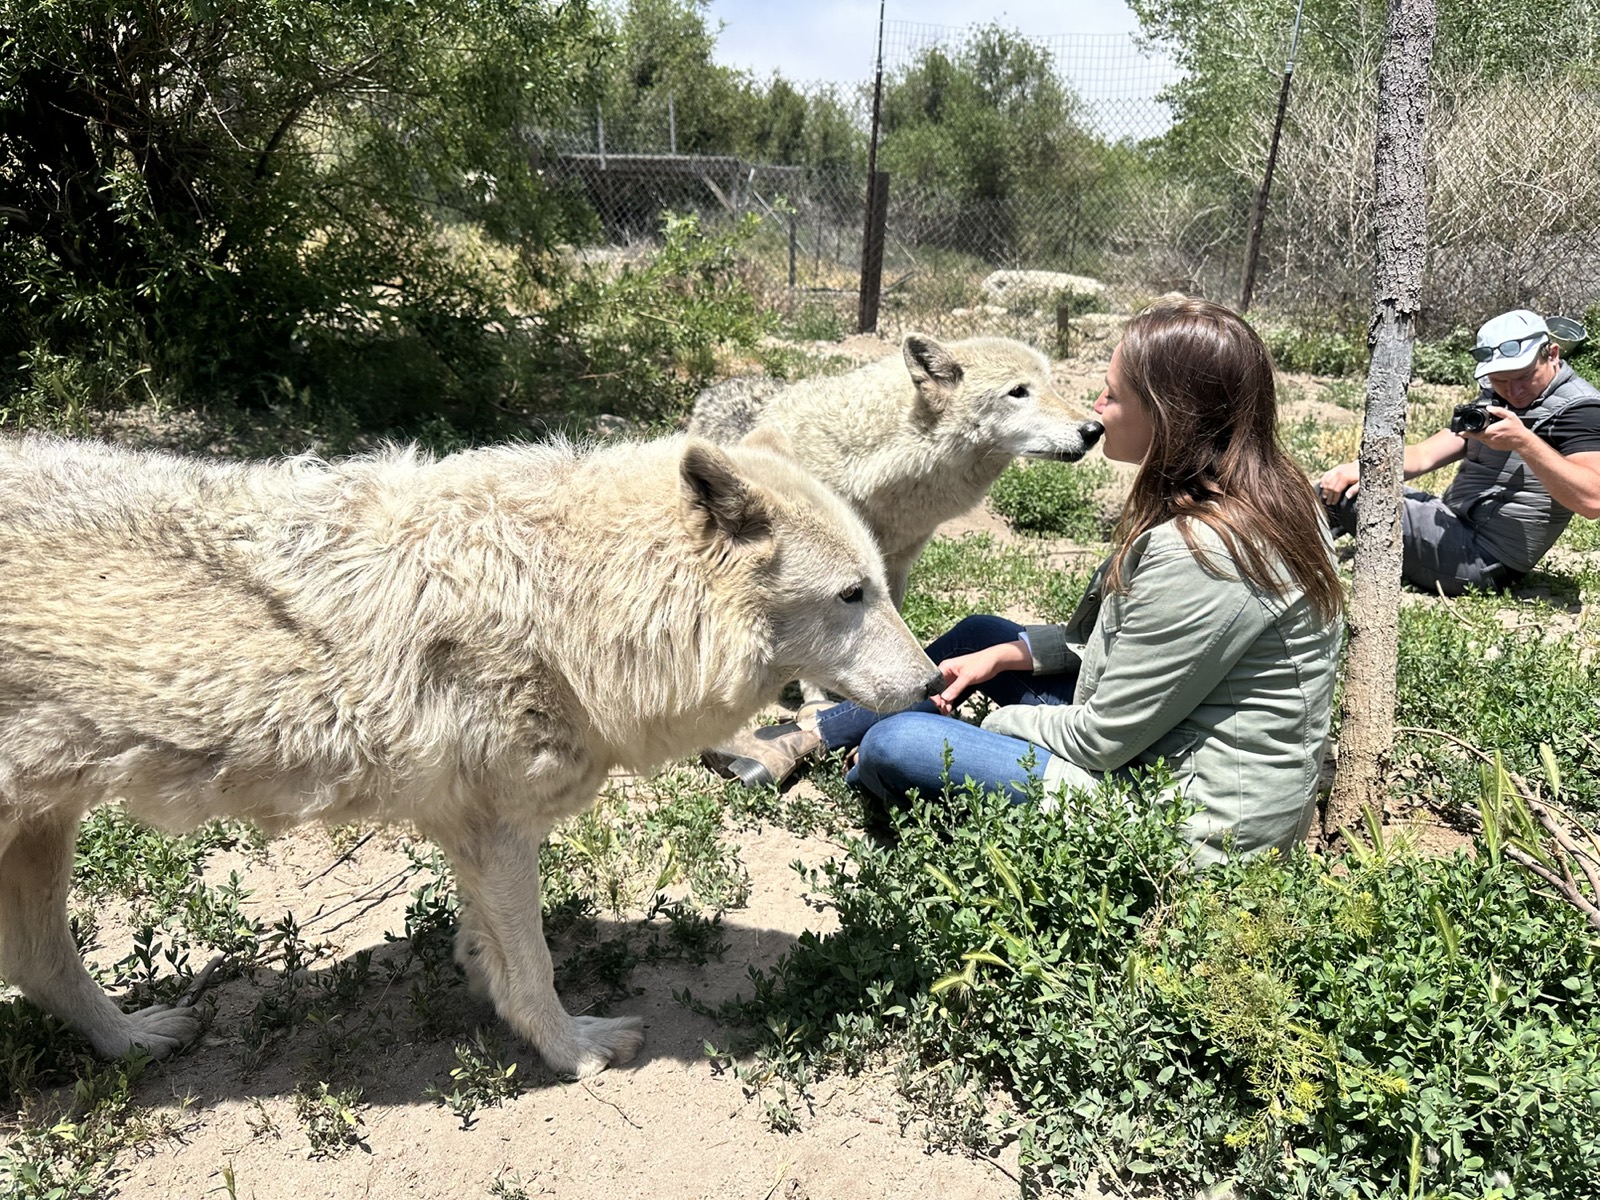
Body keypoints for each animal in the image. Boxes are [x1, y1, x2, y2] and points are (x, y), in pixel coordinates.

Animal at [0, 433, 939, 1078]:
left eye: (878, 587)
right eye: (851, 595)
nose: (937, 682)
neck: (574, 603)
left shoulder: (468, 828)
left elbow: (491, 946)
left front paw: (490, 988)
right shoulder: (498, 826)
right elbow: (536, 966)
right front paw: (572, 1051)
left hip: (43, 831)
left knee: (41, 964)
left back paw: (134, 1039)